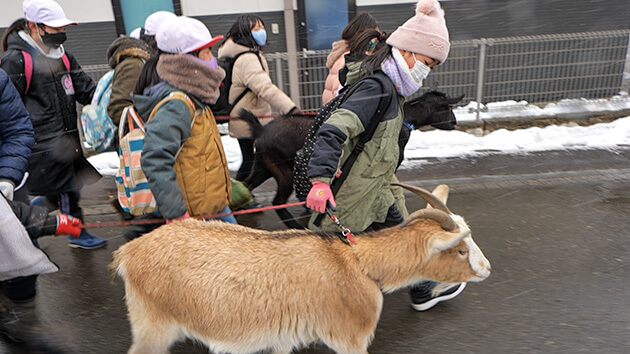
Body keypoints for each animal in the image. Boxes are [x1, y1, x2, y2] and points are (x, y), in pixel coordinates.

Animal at [111, 184, 492, 352]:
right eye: (460, 249)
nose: (487, 268)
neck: (358, 263)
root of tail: (129, 252)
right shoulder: (349, 338)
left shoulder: (282, 338)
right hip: (153, 325)